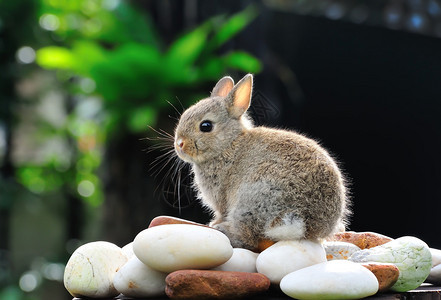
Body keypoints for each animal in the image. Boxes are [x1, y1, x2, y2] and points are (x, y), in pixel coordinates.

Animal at [174, 74, 348, 250]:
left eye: (206, 126)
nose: (179, 144)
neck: (228, 144)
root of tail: (306, 223)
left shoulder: (221, 200)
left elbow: (221, 213)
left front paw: (214, 222)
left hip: (253, 199)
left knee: (247, 238)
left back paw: (222, 229)